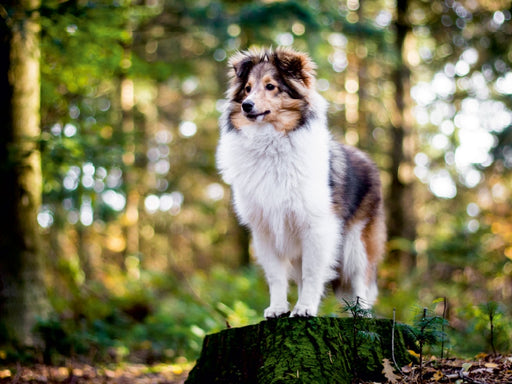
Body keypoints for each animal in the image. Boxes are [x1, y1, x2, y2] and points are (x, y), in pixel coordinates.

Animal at [215, 46, 384, 318]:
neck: (270, 144)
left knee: (361, 279)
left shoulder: (317, 226)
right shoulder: (265, 230)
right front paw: (278, 308)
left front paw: (305, 308)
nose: (246, 106)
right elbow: (276, 276)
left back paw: (362, 314)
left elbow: (314, 274)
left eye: (271, 86)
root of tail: (367, 159)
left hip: (356, 242)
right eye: (248, 88)